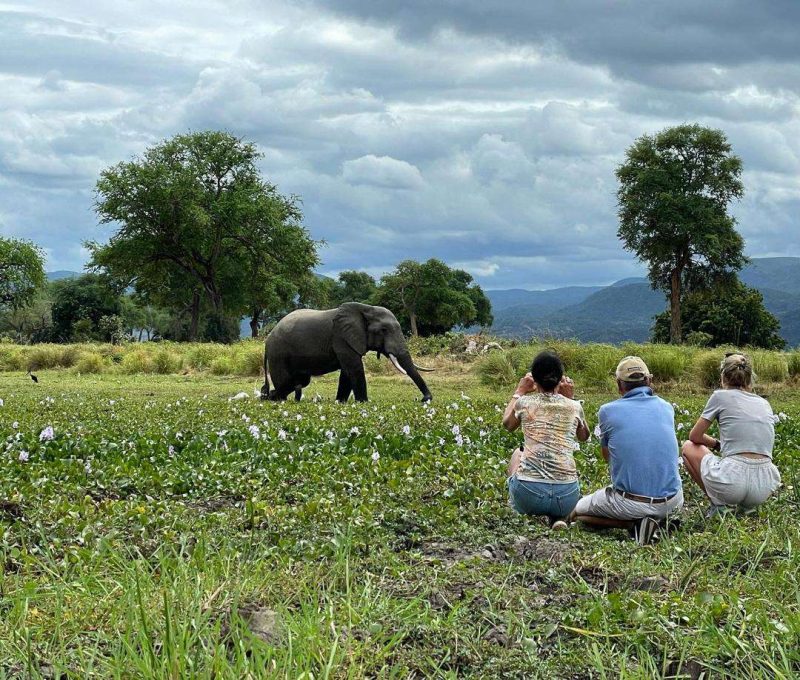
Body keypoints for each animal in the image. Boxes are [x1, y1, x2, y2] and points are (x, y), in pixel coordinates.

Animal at [260, 300, 432, 402]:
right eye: (383, 330)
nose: (425, 399)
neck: (366, 309)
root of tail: (267, 340)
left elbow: (347, 372)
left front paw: (340, 402)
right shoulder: (341, 338)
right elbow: (355, 368)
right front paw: (363, 402)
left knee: (300, 381)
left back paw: (270, 396)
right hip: (278, 353)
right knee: (286, 380)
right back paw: (273, 398)